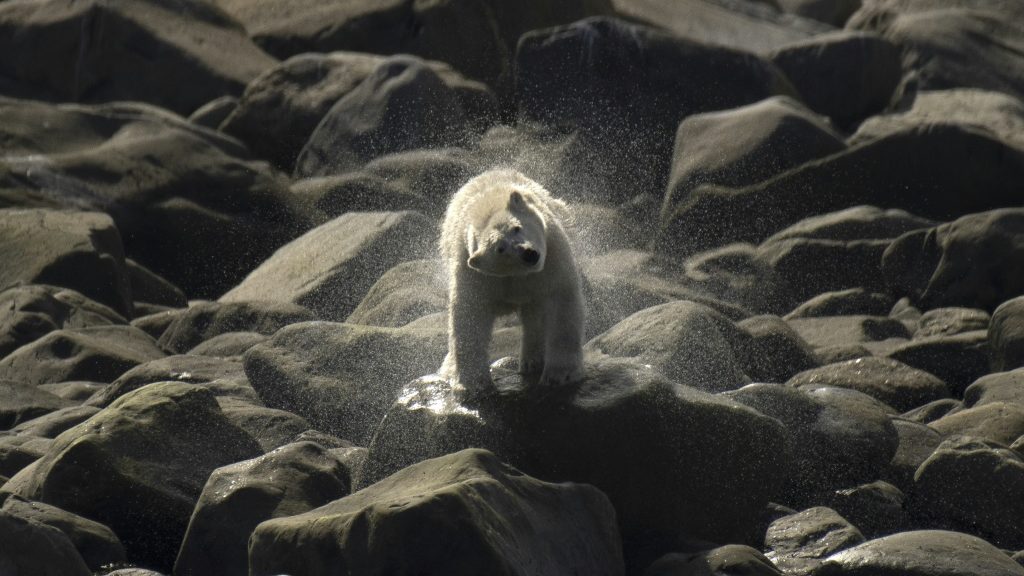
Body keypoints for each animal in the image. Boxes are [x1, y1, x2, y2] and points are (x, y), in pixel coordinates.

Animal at [439, 169, 585, 394]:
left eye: (517, 227)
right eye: (500, 248)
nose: (529, 254)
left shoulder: (552, 256)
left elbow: (561, 302)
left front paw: (559, 375)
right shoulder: (474, 272)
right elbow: (470, 314)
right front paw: (474, 384)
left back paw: (532, 361)